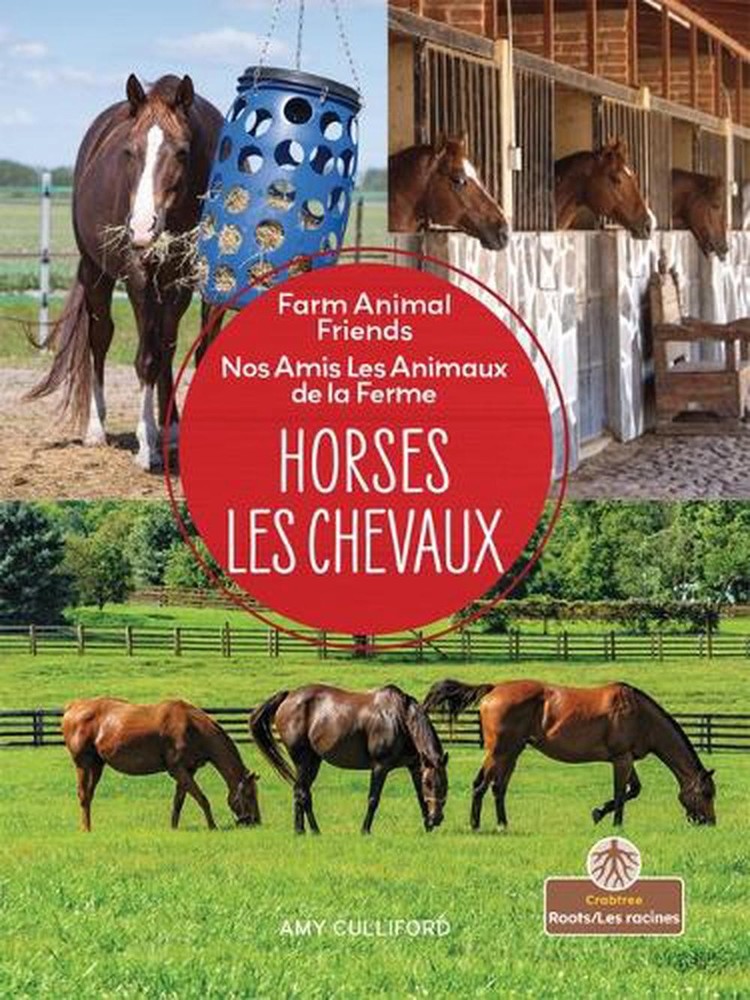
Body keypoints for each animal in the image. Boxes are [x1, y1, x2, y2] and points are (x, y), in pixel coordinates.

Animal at [27, 74, 223, 470]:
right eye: (129, 152)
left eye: (182, 152)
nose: (142, 228)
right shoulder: (138, 277)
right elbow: (145, 359)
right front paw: (147, 446)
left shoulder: (184, 280)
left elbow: (169, 350)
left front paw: (166, 434)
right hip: (95, 272)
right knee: (100, 338)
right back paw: (96, 428)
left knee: (166, 344)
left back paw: (170, 429)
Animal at [62, 697, 261, 831]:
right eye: (249, 794)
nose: (256, 821)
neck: (193, 727)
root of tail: (73, 707)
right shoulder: (177, 769)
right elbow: (202, 798)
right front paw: (212, 826)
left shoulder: (188, 770)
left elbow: (178, 801)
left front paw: (173, 827)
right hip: (83, 765)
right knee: (83, 795)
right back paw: (86, 829)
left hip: (97, 765)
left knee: (88, 795)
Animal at [250, 684, 449, 834]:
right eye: (429, 783)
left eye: (445, 784)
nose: (437, 818)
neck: (400, 719)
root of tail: (288, 696)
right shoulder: (380, 767)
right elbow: (373, 799)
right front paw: (365, 830)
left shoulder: (414, 766)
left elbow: (420, 797)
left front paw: (427, 827)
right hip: (303, 761)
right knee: (302, 793)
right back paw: (313, 830)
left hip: (313, 761)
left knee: (299, 791)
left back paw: (300, 830)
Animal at [423, 679, 716, 830]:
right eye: (707, 793)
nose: (709, 822)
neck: (640, 714)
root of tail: (494, 688)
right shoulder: (621, 759)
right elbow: (622, 793)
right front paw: (614, 823)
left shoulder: (626, 758)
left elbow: (633, 790)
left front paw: (599, 812)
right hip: (498, 752)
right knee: (480, 785)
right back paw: (475, 825)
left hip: (511, 753)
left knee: (498, 788)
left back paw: (503, 824)